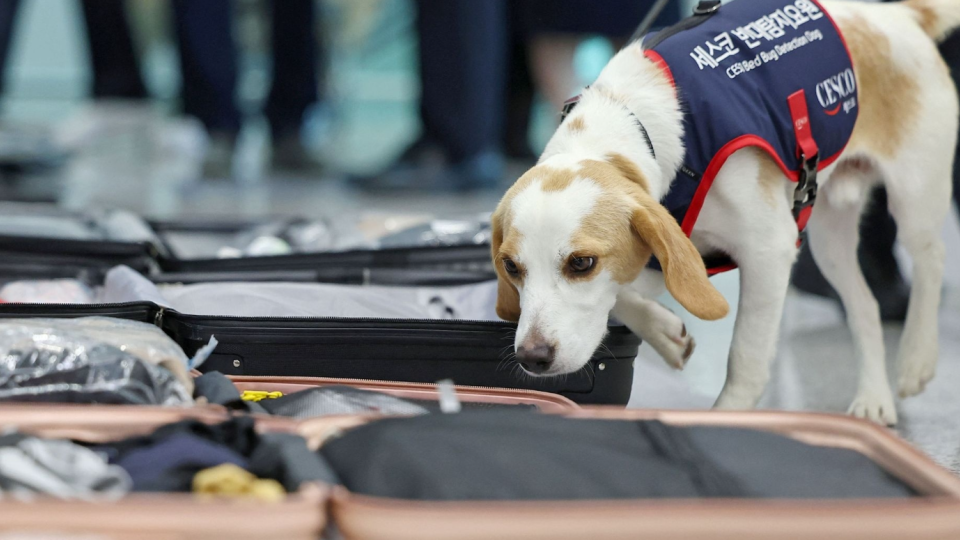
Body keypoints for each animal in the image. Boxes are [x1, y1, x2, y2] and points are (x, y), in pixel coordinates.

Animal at [492, 0, 956, 426]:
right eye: (511, 268)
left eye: (581, 263)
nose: (532, 357)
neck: (633, 119)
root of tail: (896, 14)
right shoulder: (663, 252)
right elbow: (623, 296)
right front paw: (664, 333)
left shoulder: (770, 251)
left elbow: (746, 358)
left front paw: (728, 416)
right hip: (828, 241)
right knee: (865, 306)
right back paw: (874, 399)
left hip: (914, 197)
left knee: (931, 261)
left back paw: (917, 359)